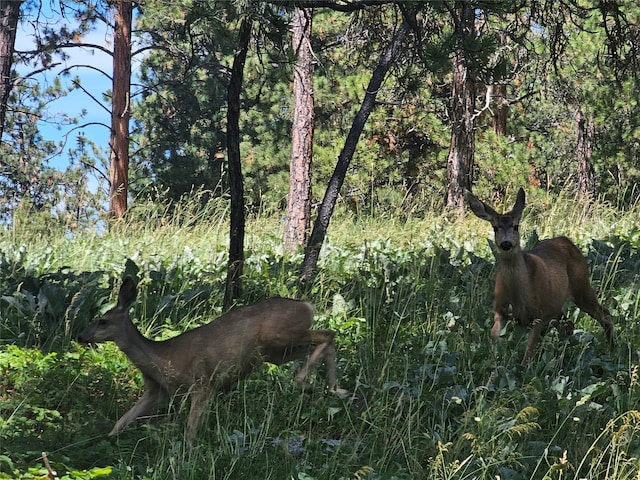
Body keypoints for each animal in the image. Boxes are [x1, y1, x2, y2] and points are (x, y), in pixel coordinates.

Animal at [79, 276, 344, 444]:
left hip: (280, 336)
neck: (163, 358)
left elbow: (190, 429)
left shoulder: (202, 383)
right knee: (323, 342)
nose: (81, 335)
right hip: (277, 352)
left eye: (102, 321)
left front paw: (188, 455)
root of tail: (307, 305)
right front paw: (104, 440)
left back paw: (306, 381)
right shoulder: (157, 391)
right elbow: (122, 421)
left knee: (328, 334)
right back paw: (334, 389)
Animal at [464, 188, 616, 376]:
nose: (506, 244)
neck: (519, 295)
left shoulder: (539, 315)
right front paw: (494, 371)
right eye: (495, 227)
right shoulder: (500, 310)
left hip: (582, 287)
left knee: (605, 313)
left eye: (516, 226)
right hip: (556, 305)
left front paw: (522, 372)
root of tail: (566, 240)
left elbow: (529, 351)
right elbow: (493, 334)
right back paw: (561, 356)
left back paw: (612, 349)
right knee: (569, 325)